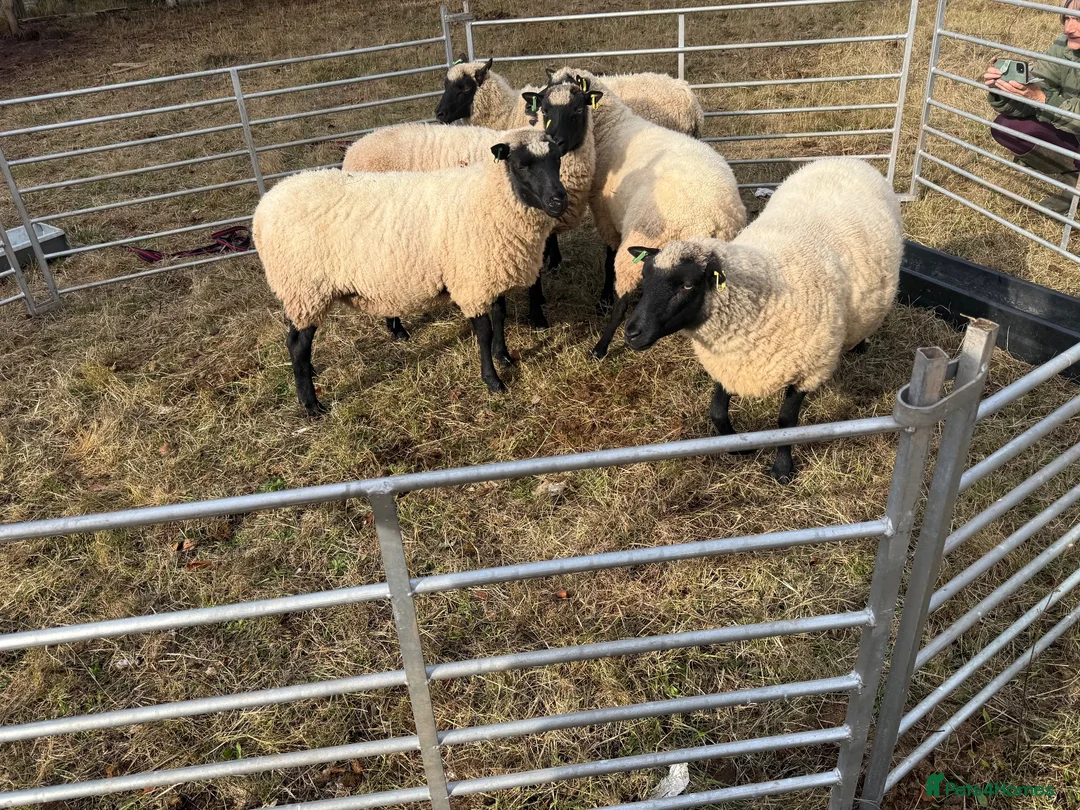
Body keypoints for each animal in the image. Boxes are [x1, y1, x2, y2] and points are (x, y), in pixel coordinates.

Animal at [253, 128, 568, 416]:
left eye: (557, 159)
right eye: (521, 165)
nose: (559, 200)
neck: (488, 197)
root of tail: (264, 207)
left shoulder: (487, 272)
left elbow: (500, 316)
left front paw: (504, 357)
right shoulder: (470, 279)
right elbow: (484, 332)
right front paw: (493, 381)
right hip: (304, 288)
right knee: (297, 344)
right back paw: (311, 405)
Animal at [546, 68, 745, 359]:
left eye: (577, 109)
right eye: (544, 107)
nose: (554, 144)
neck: (611, 126)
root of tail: (711, 219)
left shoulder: (605, 214)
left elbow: (608, 256)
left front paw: (604, 299)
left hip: (641, 239)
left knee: (623, 298)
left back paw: (600, 347)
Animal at [621, 157, 903, 484]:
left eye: (688, 285)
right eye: (645, 277)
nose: (632, 333)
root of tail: (847, 160)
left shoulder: (809, 368)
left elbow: (785, 422)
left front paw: (782, 469)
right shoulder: (730, 360)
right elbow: (717, 412)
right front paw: (738, 447)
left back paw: (860, 344)